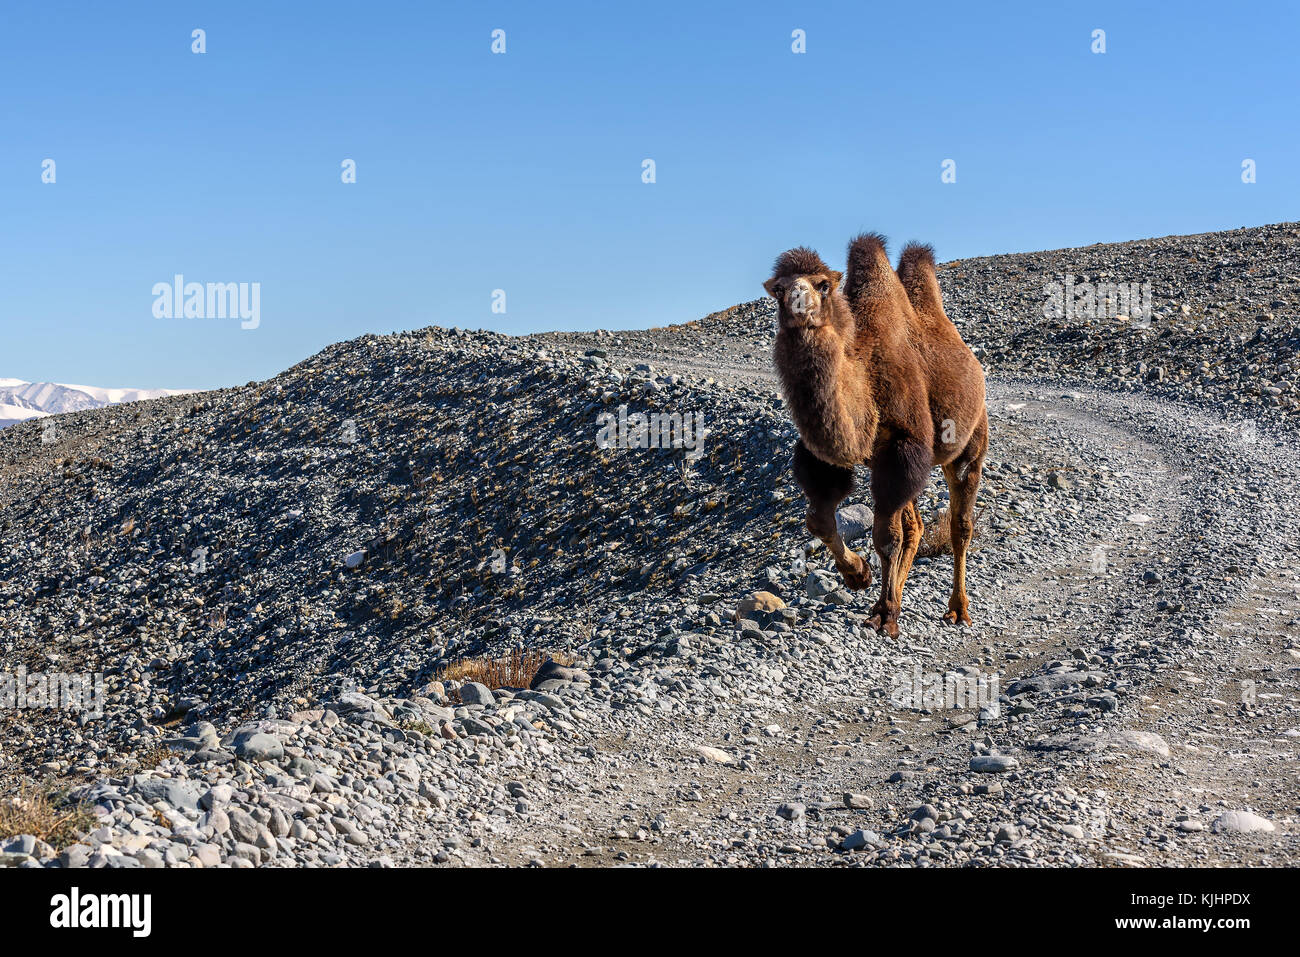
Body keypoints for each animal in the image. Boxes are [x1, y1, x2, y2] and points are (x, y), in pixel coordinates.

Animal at [764, 234, 987, 634]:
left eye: (823, 284)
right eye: (779, 289)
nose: (798, 302)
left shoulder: (904, 447)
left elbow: (885, 537)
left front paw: (884, 615)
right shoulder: (831, 457)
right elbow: (820, 520)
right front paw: (858, 576)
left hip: (970, 444)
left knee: (960, 526)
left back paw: (958, 610)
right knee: (914, 526)